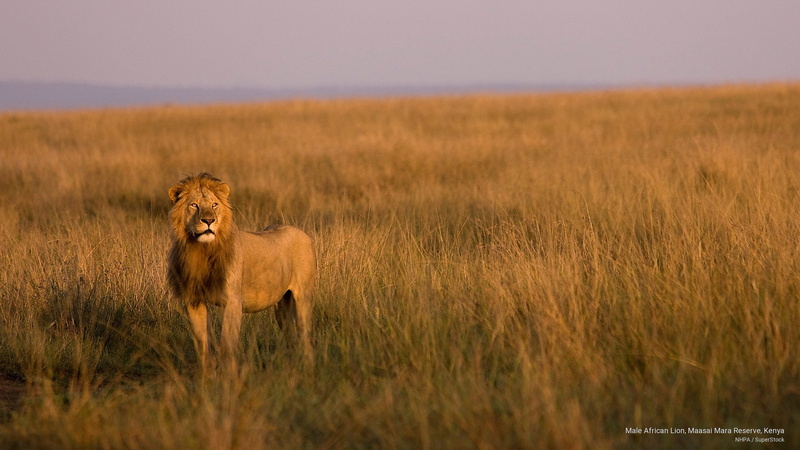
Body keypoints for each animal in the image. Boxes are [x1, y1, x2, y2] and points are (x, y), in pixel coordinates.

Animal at [167, 173, 314, 371]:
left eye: (214, 205)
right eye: (194, 205)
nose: (209, 221)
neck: (201, 250)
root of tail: (301, 232)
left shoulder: (233, 300)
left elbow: (226, 346)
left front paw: (228, 376)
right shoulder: (194, 300)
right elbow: (203, 345)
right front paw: (206, 375)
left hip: (302, 297)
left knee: (305, 337)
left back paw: (308, 369)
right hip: (282, 304)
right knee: (291, 337)